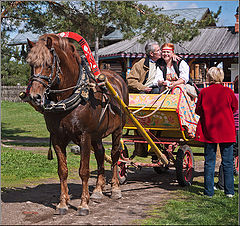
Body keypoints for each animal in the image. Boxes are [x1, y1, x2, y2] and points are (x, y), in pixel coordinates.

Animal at [24, 34, 128, 215]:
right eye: (31, 64)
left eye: (49, 65)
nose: (34, 96)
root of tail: (115, 76)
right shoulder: (57, 137)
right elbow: (62, 171)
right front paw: (63, 203)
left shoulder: (84, 136)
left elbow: (84, 171)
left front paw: (83, 204)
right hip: (97, 135)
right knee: (100, 154)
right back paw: (98, 190)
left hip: (117, 130)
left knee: (115, 155)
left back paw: (115, 188)